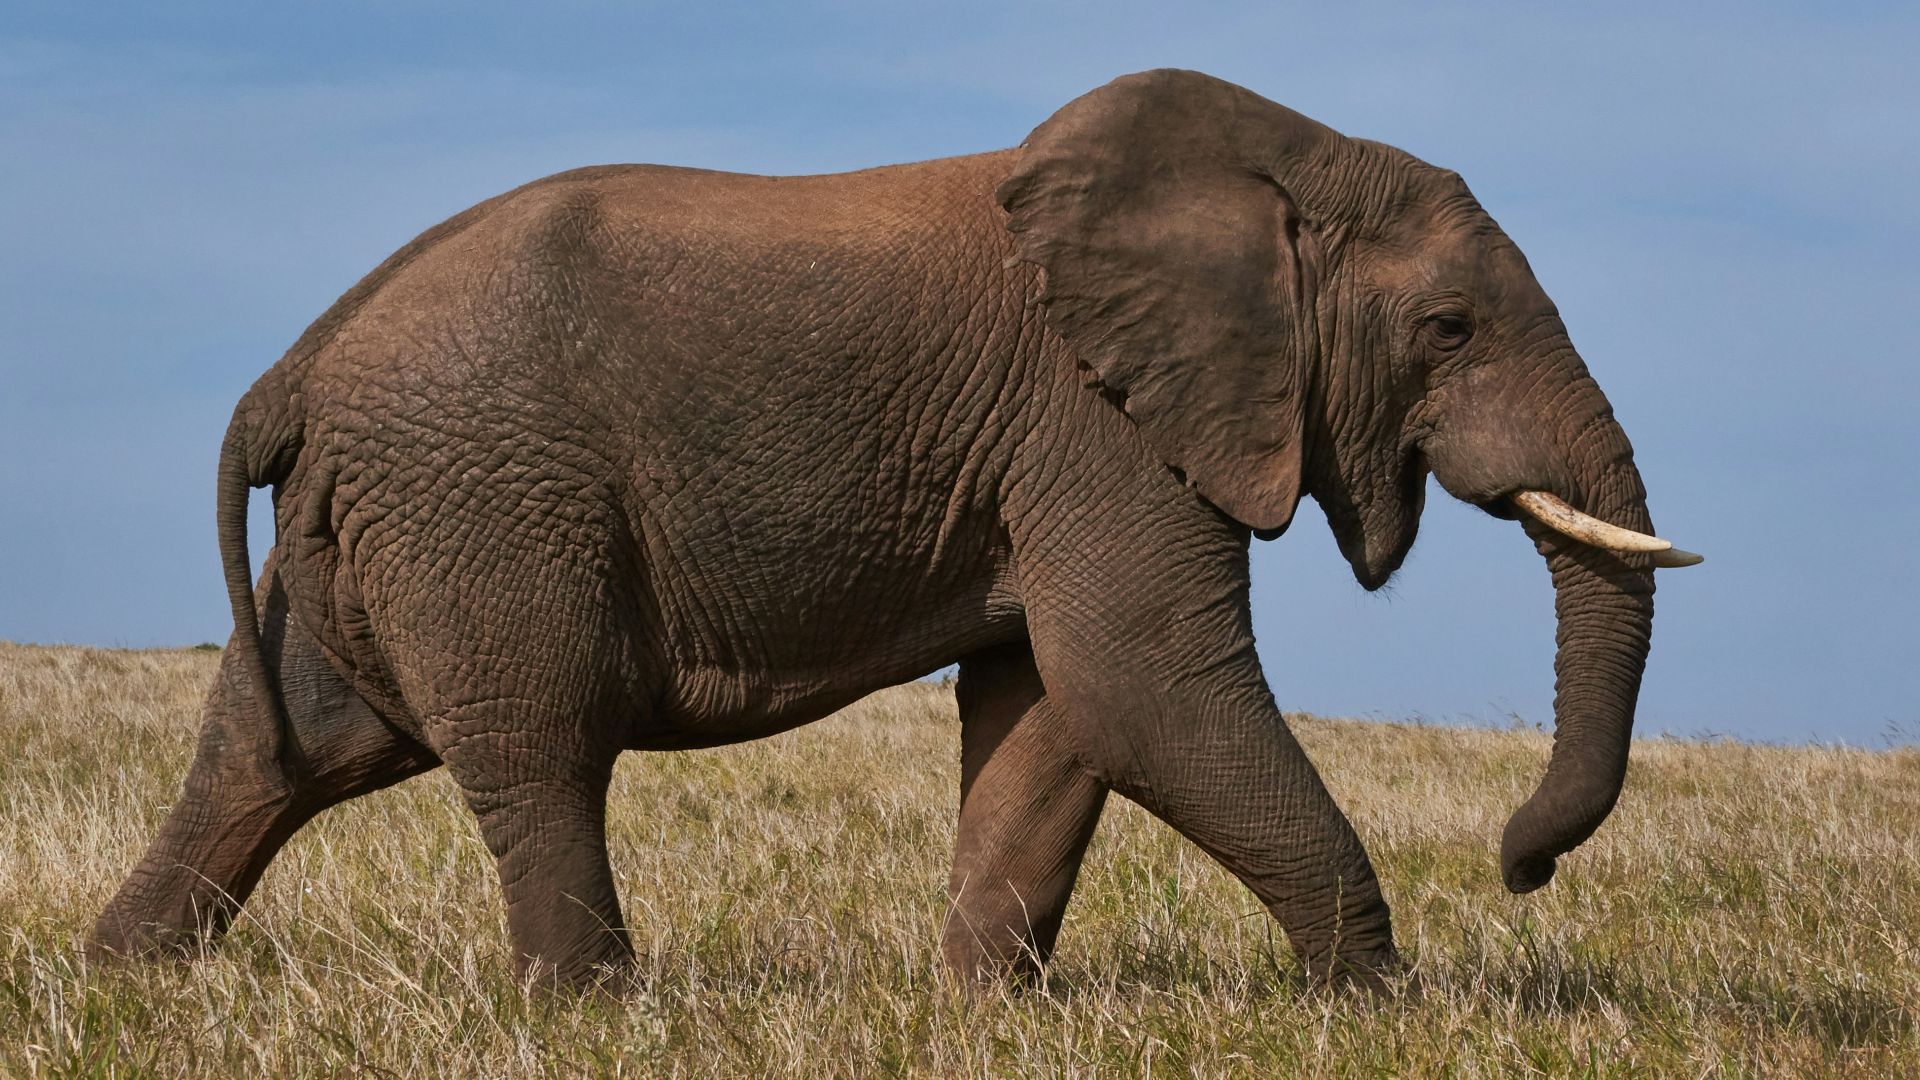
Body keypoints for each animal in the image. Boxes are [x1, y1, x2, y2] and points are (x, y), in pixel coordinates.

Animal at [91, 69, 1700, 991]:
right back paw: (595, 1011)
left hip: (380, 525)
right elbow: (1145, 687)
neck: (1278, 163)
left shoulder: (1062, 445)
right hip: (482, 501)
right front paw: (1370, 1004)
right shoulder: (1095, 422)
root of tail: (296, 367)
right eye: (1448, 329)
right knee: (536, 748)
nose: (1520, 867)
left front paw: (981, 1012)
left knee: (280, 748)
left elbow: (1055, 710)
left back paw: (127, 982)